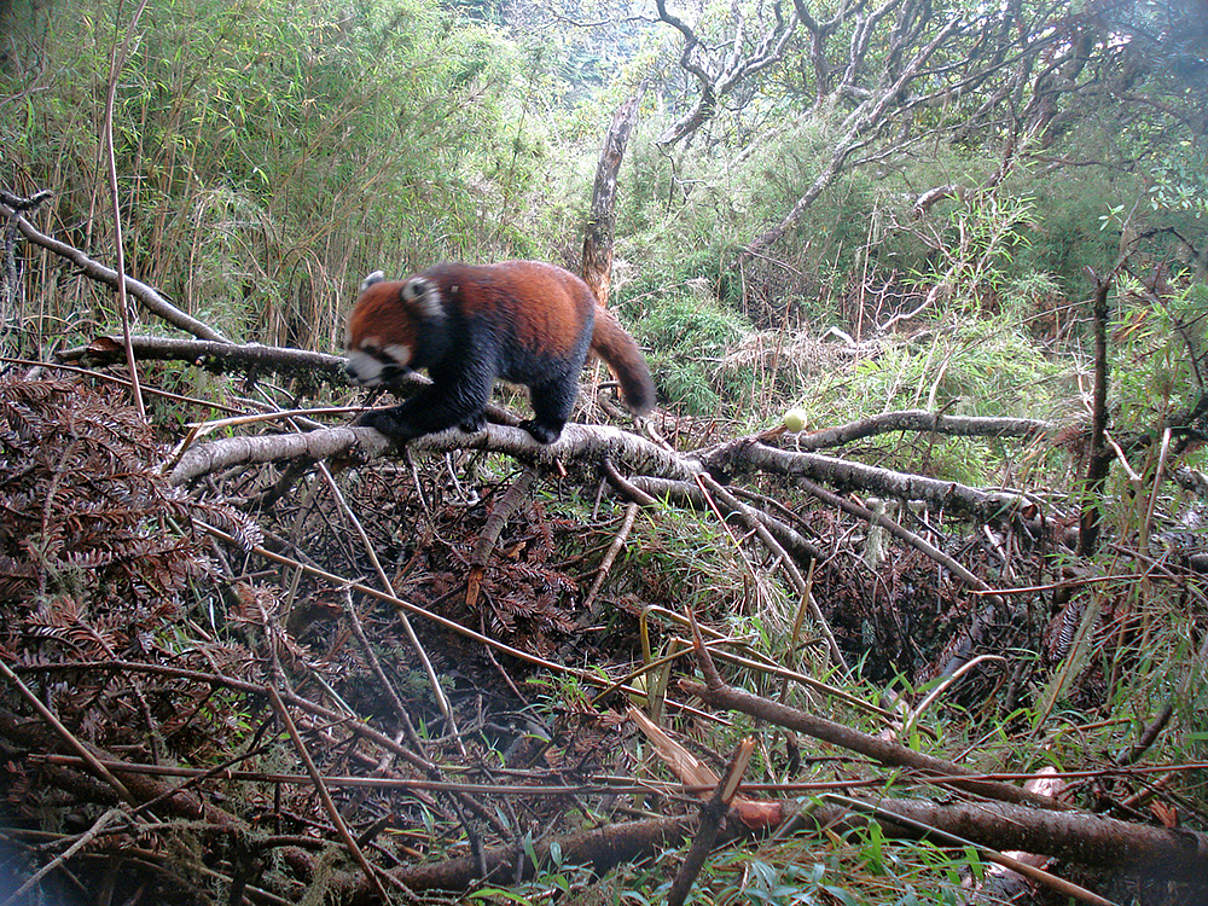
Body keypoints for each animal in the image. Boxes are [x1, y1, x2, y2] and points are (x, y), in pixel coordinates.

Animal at [345, 258, 657, 444]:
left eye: (374, 349)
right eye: (349, 343)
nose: (350, 370)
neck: (444, 304)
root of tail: (590, 297)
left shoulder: (478, 332)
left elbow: (464, 392)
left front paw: (389, 418)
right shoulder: (446, 352)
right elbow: (456, 391)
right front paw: (473, 419)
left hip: (567, 341)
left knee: (557, 387)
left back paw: (548, 426)